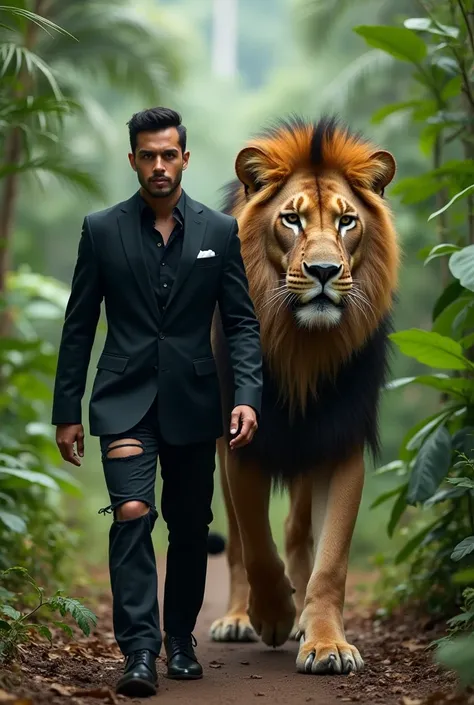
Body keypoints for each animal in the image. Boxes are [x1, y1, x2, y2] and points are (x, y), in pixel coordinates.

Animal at [209, 117, 398, 676]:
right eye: (291, 220)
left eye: (347, 222)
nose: (323, 272)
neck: (303, 349)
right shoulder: (242, 440)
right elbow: (254, 544)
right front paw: (271, 613)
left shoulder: (340, 440)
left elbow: (330, 561)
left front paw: (326, 642)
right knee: (235, 544)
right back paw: (239, 618)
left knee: (296, 528)